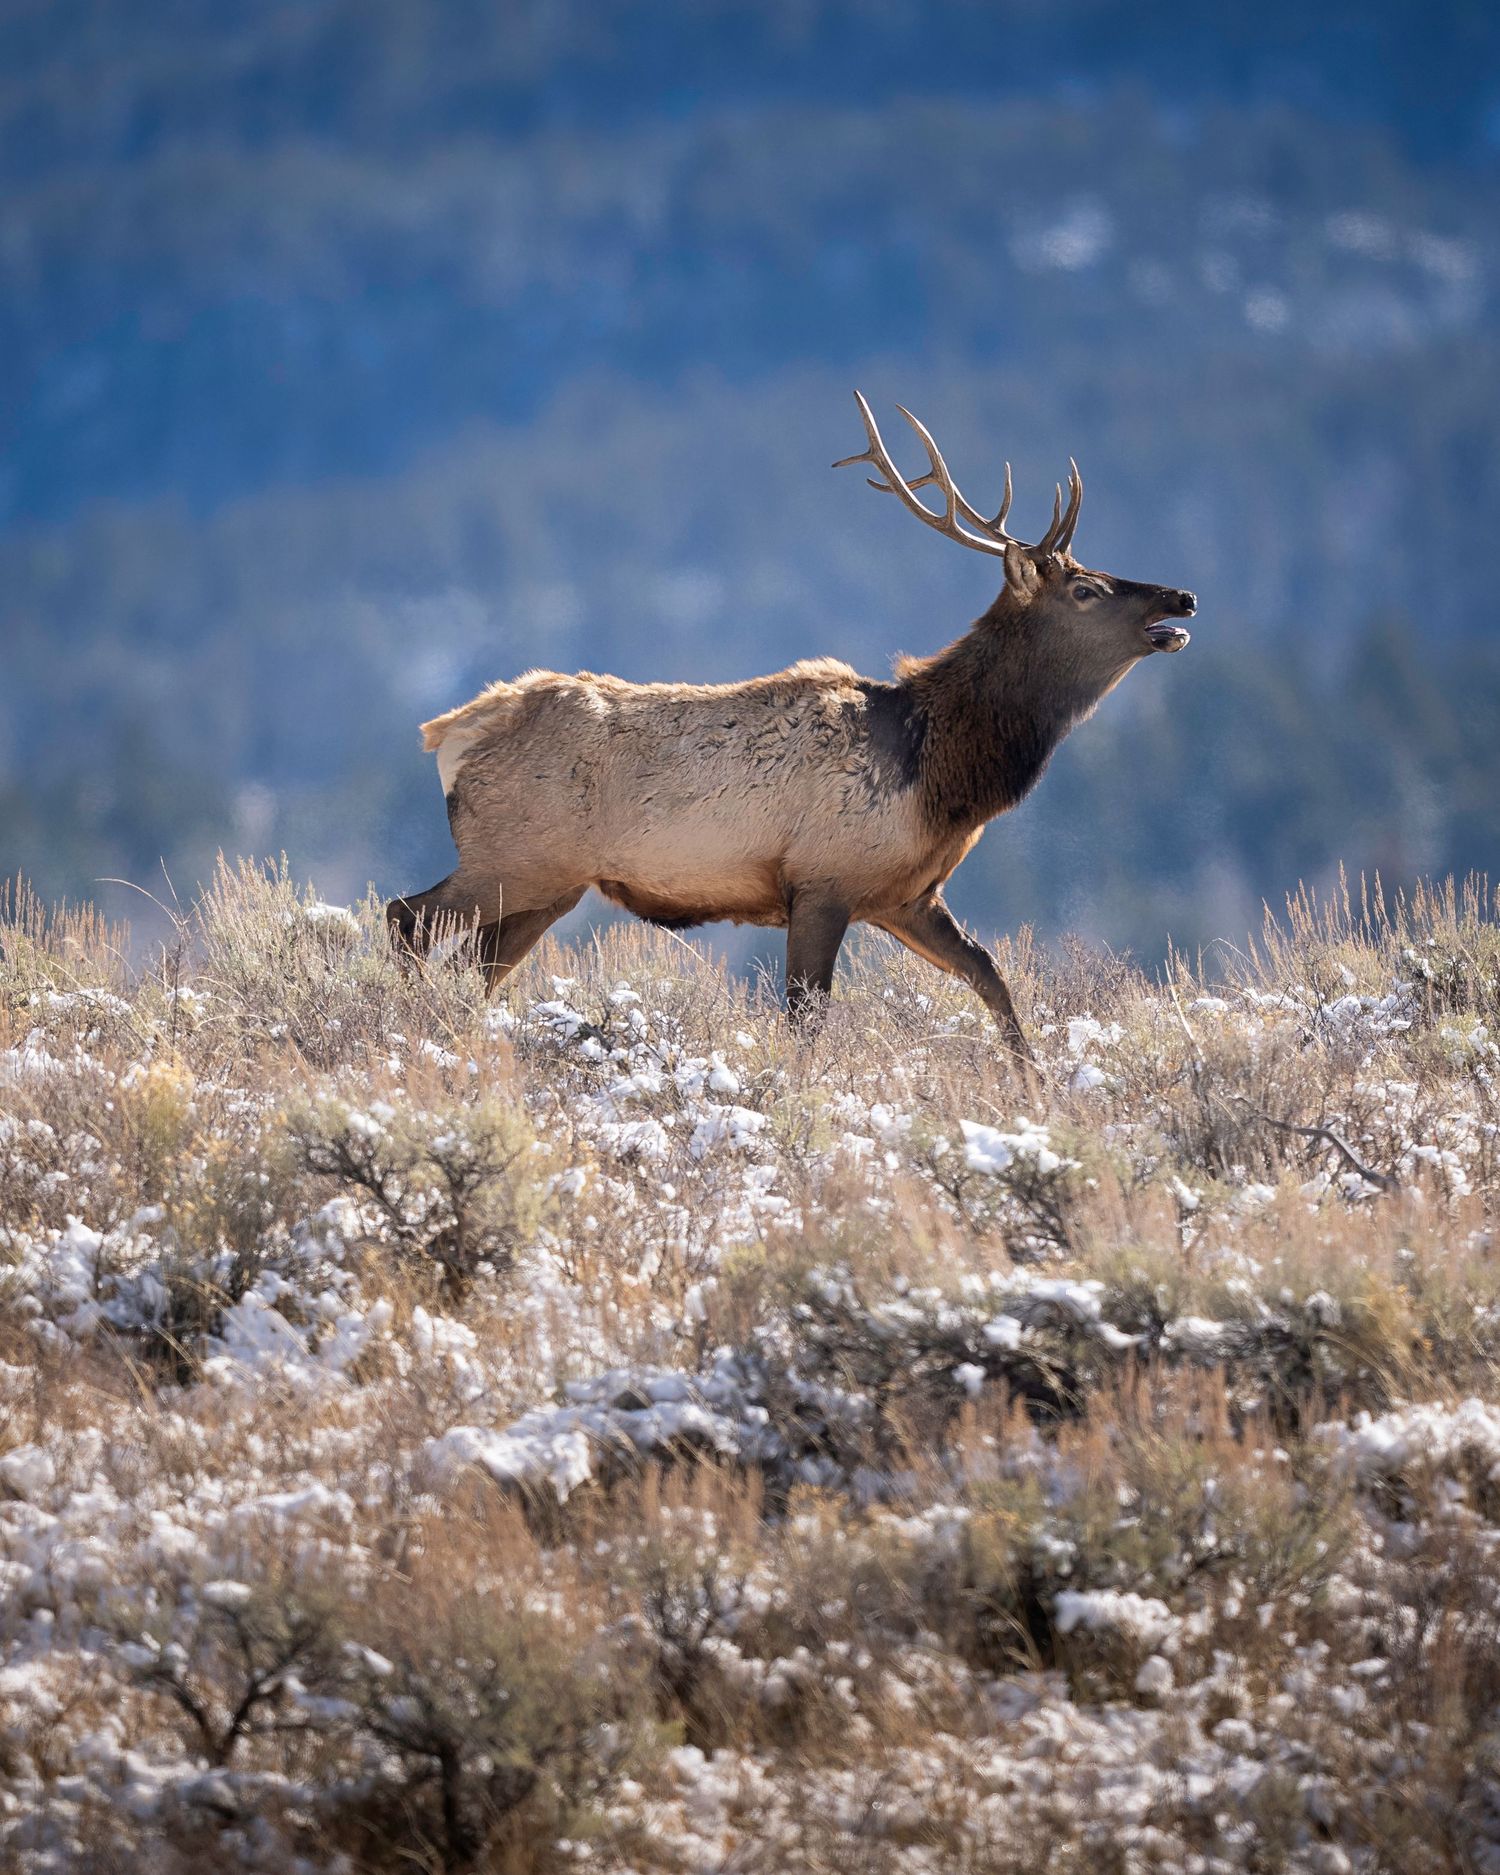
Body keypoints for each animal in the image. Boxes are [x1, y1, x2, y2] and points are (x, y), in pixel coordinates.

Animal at [388, 393, 1197, 1062]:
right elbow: (807, 1021)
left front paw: (1035, 1086)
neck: (941, 775)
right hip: (515, 856)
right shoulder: (823, 879)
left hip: (551, 883)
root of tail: (446, 733)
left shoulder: (905, 896)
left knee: (475, 966)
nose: (1182, 597)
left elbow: (992, 978)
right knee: (407, 918)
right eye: (1086, 589)